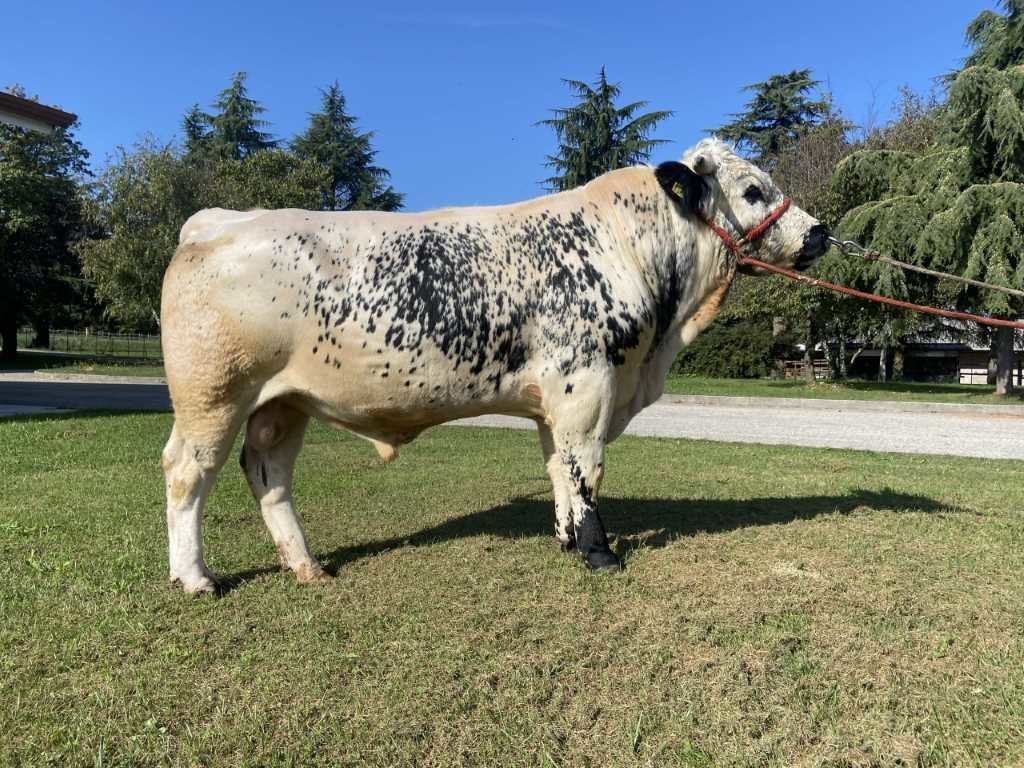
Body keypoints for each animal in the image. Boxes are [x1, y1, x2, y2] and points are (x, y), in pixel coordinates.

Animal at [161, 140, 831, 593]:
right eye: (752, 191)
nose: (821, 234)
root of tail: (217, 220)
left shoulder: (557, 400)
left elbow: (559, 469)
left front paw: (566, 539)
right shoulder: (588, 386)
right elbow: (587, 470)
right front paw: (600, 554)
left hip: (282, 402)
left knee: (268, 473)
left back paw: (306, 565)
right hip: (213, 395)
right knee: (187, 472)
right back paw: (196, 578)